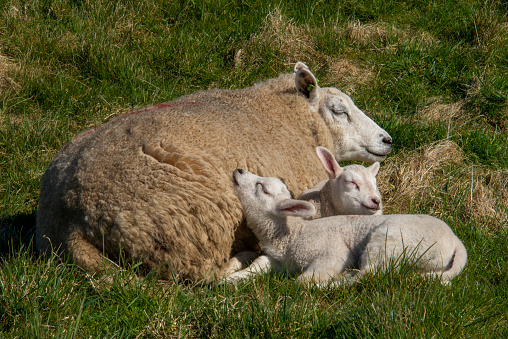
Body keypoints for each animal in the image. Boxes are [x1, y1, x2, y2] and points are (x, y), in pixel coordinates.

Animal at [35, 61, 392, 282]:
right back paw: (240, 258)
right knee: (200, 276)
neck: (284, 116)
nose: (387, 140)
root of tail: (72, 217)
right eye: (339, 110)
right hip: (191, 229)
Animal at [227, 169, 468, 286]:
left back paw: (338, 281)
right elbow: (259, 263)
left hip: (389, 240)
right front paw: (231, 279)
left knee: (370, 274)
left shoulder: (332, 252)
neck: (293, 235)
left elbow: (302, 282)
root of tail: (457, 242)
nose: (238, 170)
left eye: (262, 188)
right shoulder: (279, 262)